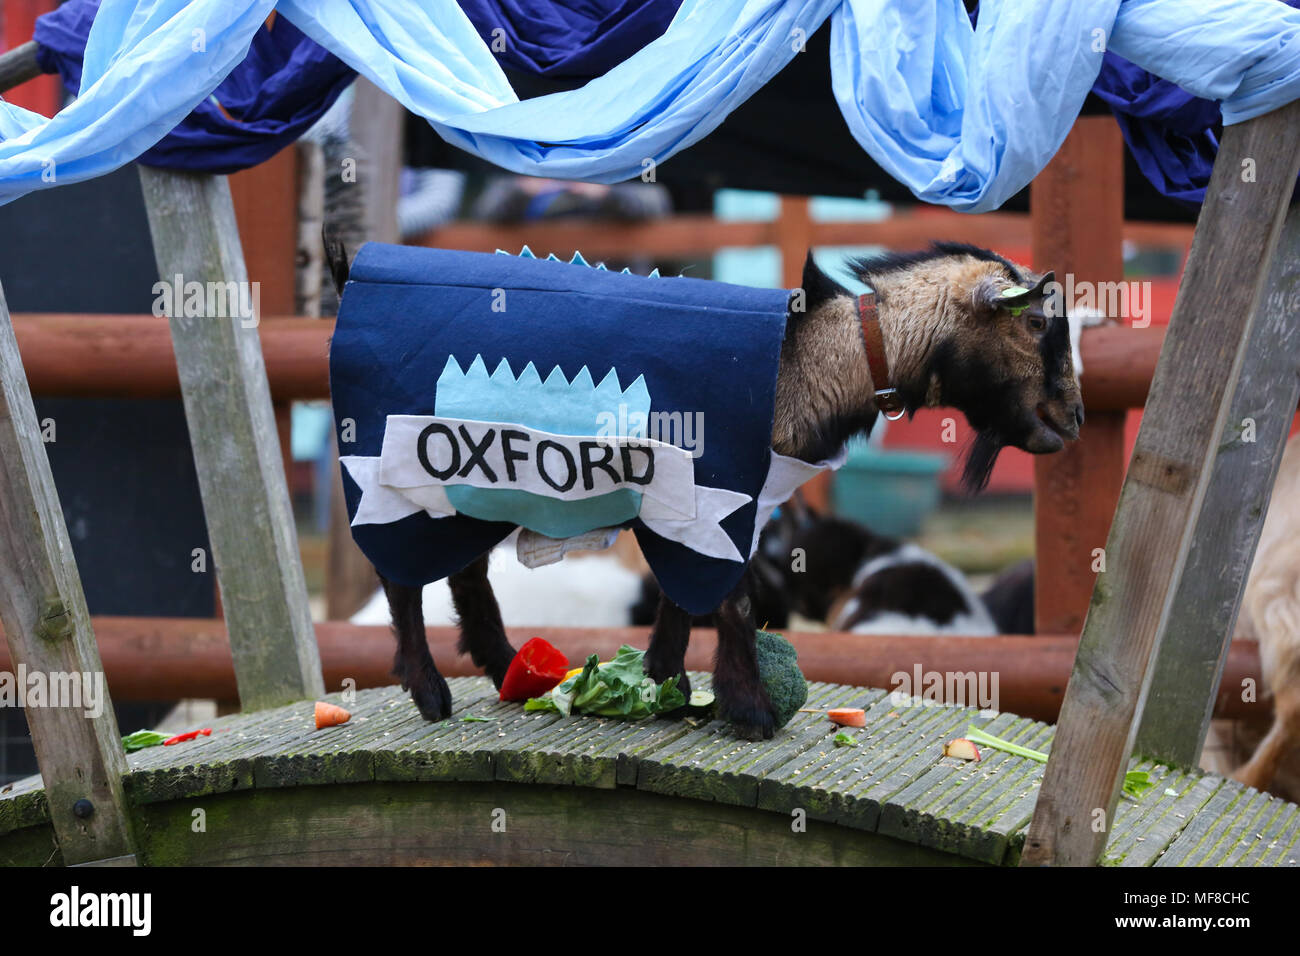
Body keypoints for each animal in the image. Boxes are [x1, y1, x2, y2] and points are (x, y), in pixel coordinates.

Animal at [327, 239, 1086, 738]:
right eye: (1035, 322)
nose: (1071, 421)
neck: (810, 358)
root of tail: (349, 274)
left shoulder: (703, 507)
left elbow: (684, 599)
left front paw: (665, 680)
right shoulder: (715, 499)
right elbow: (732, 600)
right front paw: (748, 710)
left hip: (478, 488)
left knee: (465, 573)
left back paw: (507, 668)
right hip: (403, 479)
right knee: (400, 577)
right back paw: (429, 691)